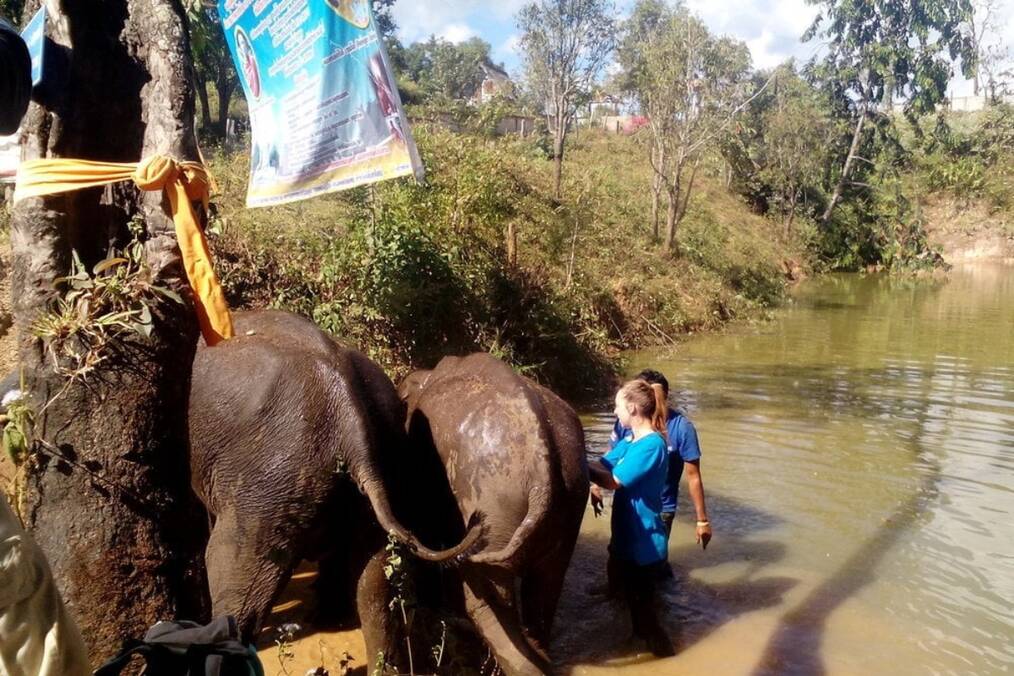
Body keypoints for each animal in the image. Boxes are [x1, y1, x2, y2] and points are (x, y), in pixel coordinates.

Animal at [396, 353, 590, 676]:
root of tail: (541, 473)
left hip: (494, 505)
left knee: (484, 595)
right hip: (570, 497)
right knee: (546, 585)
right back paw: (541, 658)